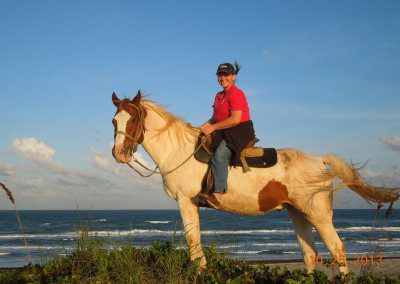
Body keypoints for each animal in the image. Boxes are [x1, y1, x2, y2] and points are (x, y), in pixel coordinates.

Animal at [111, 91, 398, 276]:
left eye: (133, 119)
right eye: (114, 121)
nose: (119, 154)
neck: (180, 151)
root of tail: (319, 161)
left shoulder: (186, 201)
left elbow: (194, 245)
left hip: (317, 213)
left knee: (337, 250)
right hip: (298, 212)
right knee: (310, 253)